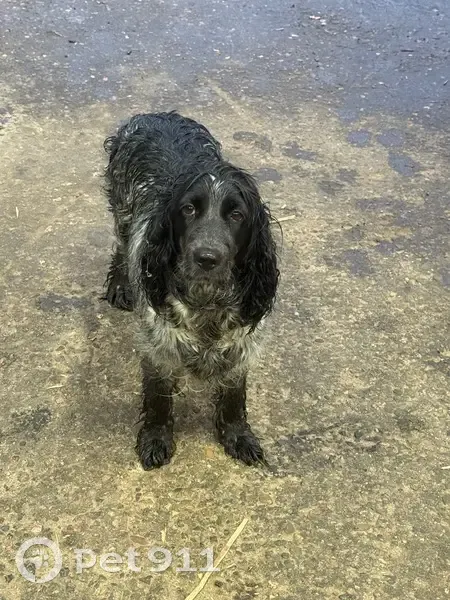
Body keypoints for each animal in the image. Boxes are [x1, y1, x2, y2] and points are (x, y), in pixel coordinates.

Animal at [103, 111, 279, 469]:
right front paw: (155, 439)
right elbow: (158, 398)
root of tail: (154, 114)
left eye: (236, 214)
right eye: (188, 209)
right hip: (123, 210)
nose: (207, 258)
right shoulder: (158, 346)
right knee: (121, 244)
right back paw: (120, 283)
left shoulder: (241, 347)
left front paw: (238, 436)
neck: (207, 302)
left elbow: (233, 397)